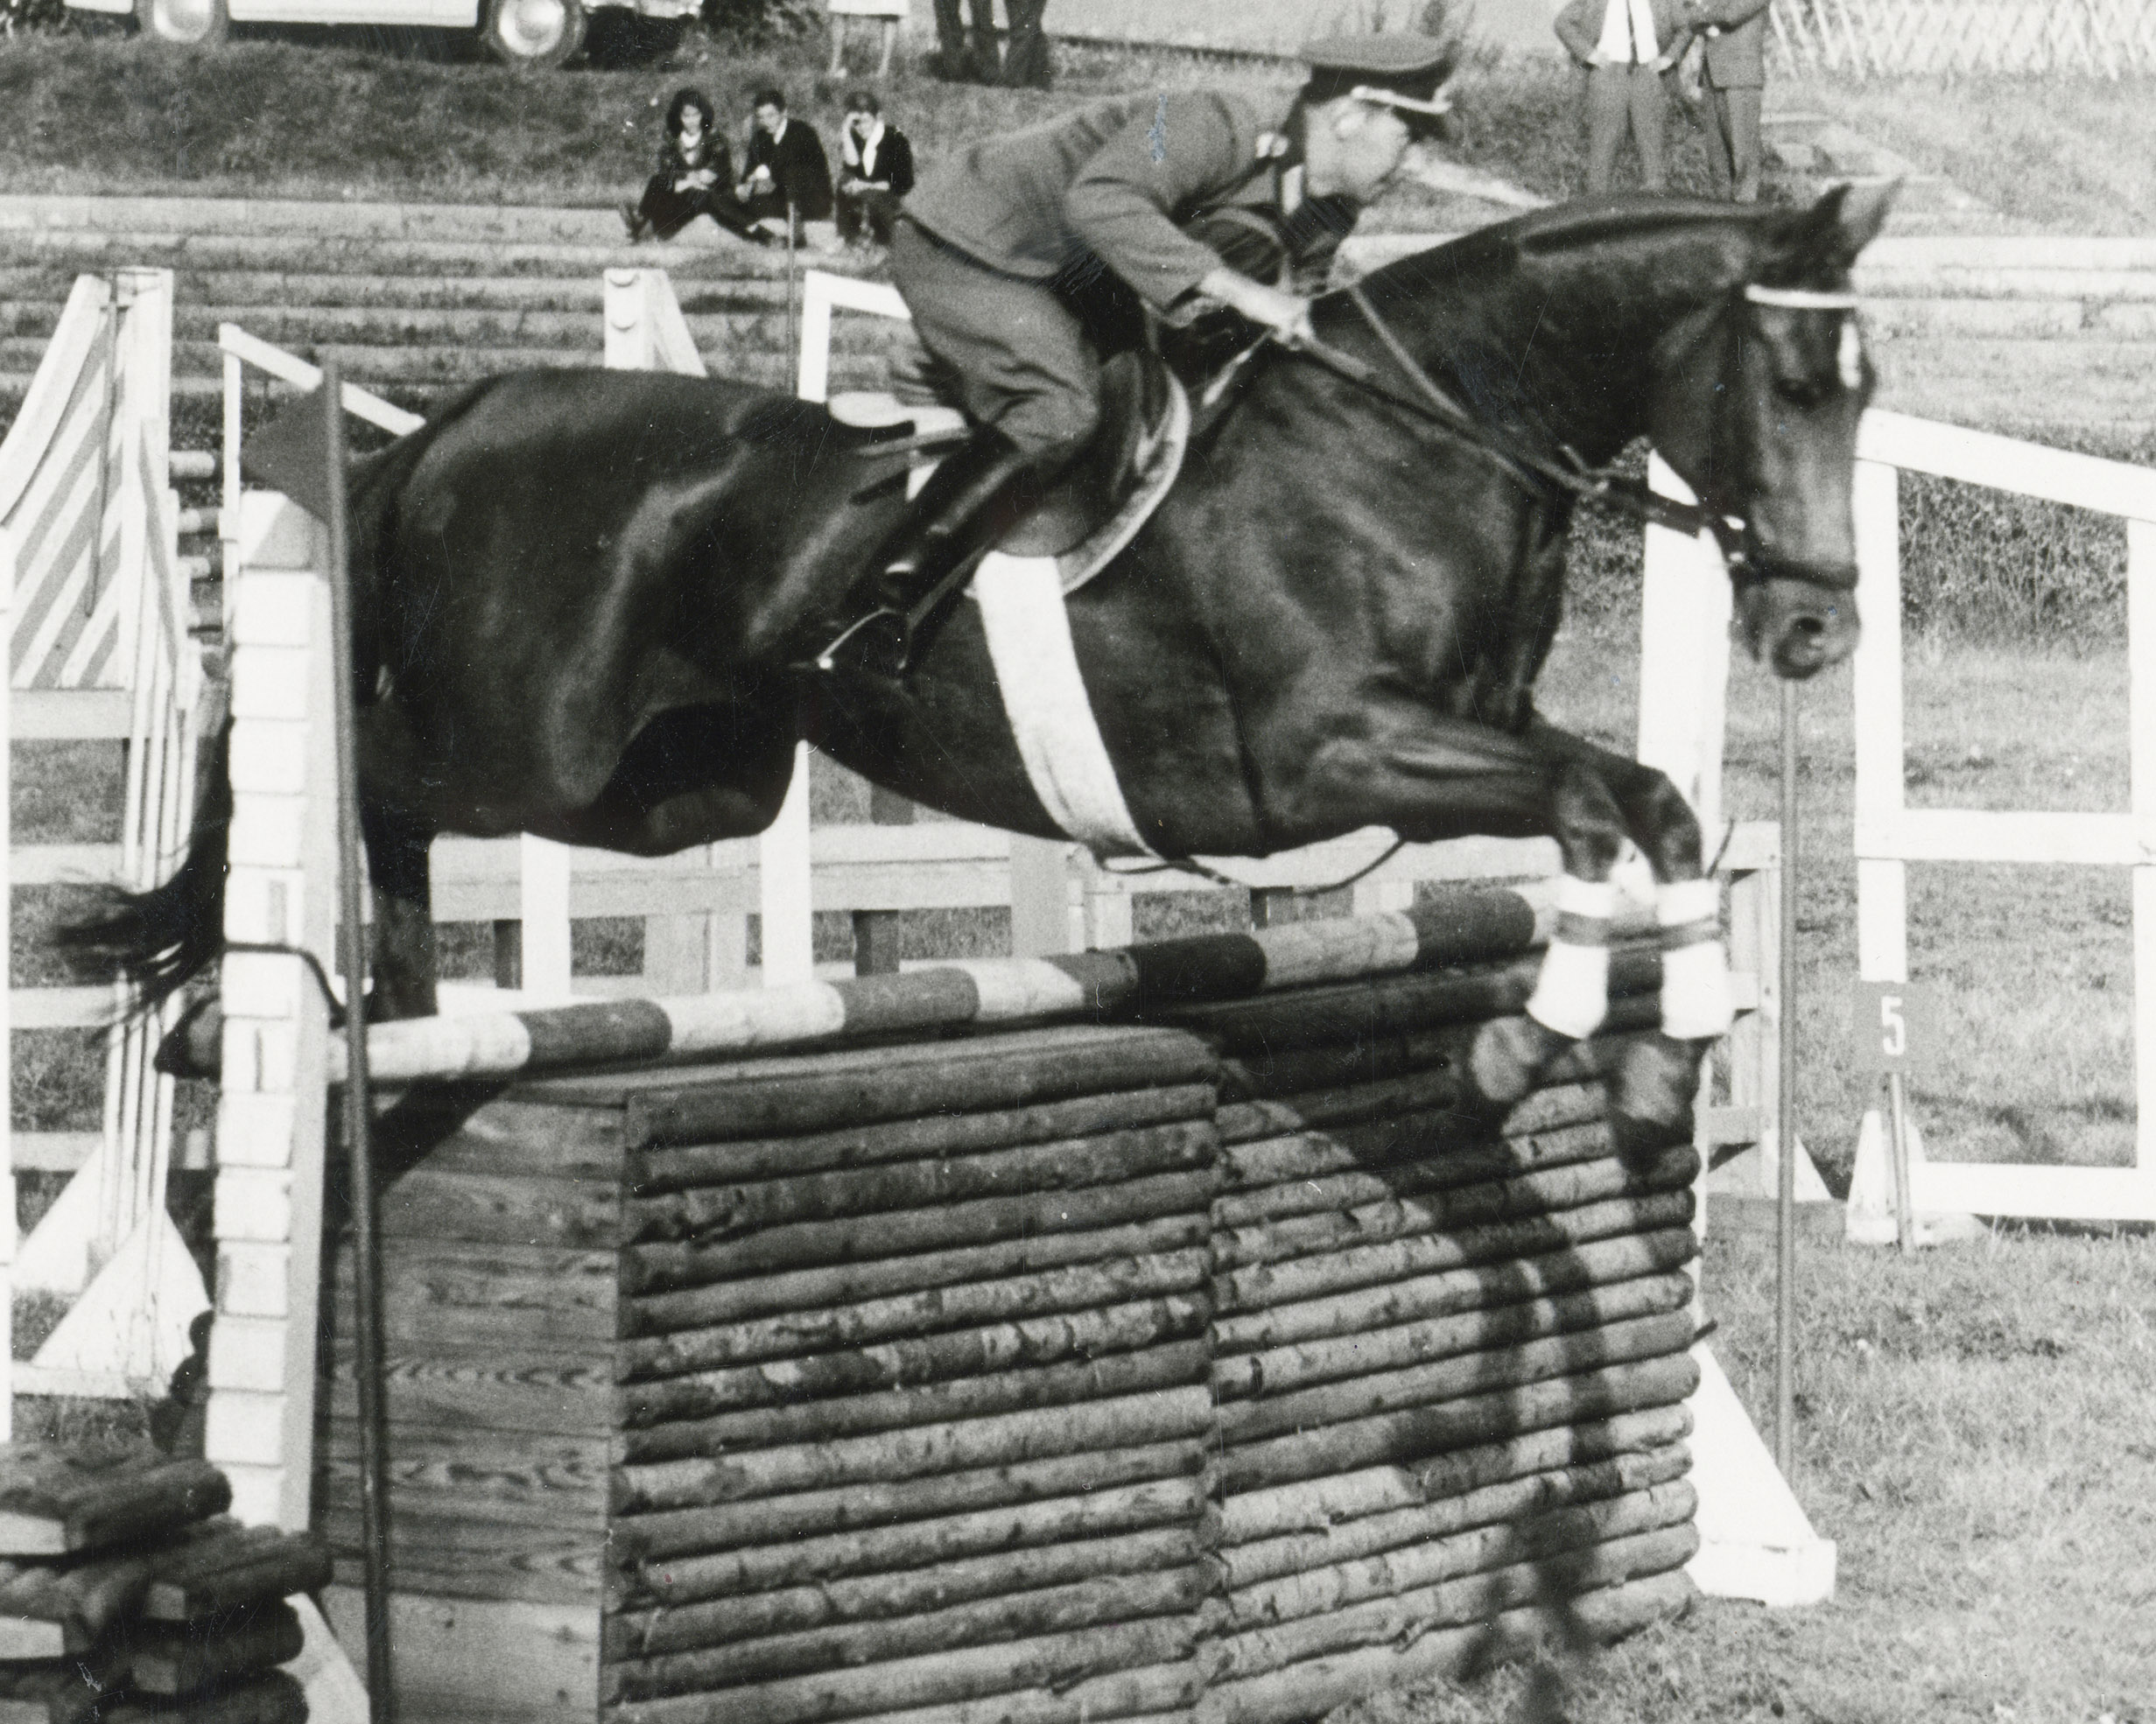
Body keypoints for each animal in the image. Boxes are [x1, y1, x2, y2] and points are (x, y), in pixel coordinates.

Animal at [63, 185, 1888, 1129]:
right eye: (1798, 383)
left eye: (1867, 392)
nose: (1814, 624)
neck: (1414, 435)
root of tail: (460, 420)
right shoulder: (1325, 757)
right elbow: (1597, 808)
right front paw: (1542, 1041)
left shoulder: (1466, 736)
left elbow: (1646, 806)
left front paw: (1655, 1051)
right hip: (546, 738)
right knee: (357, 772)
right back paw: (322, 1010)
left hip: (685, 786)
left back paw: (406, 1024)